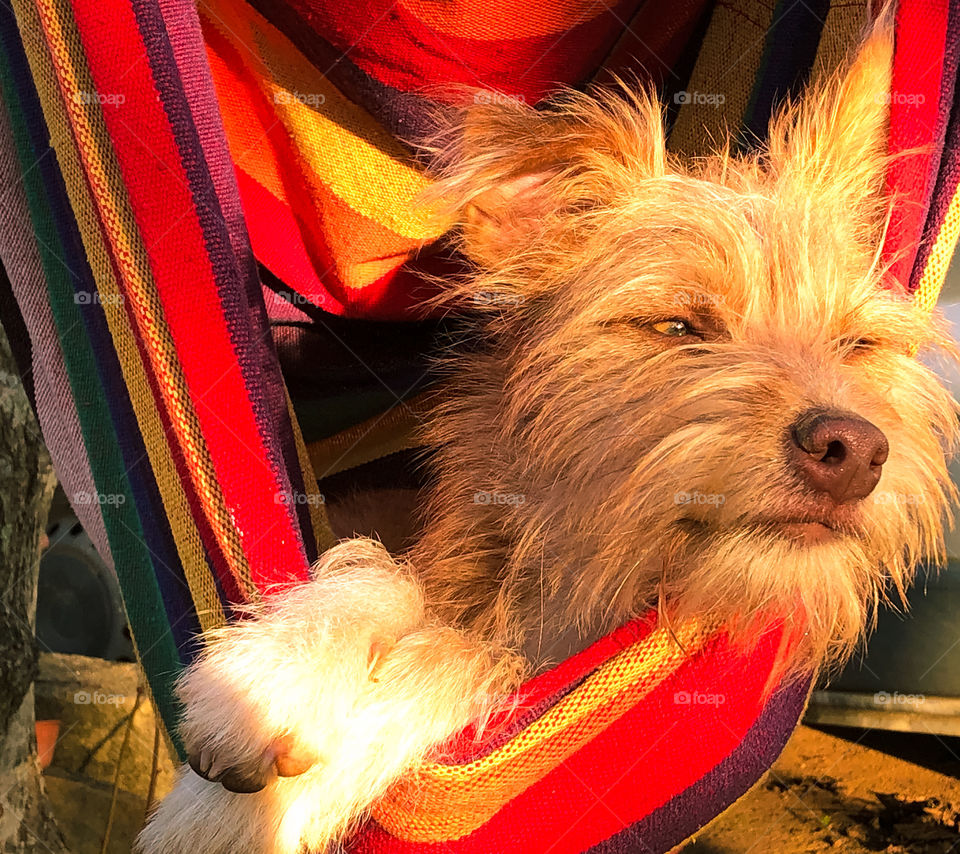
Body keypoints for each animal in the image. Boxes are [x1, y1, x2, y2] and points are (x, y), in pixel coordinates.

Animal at [135, 13, 960, 854]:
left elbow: (466, 657)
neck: (582, 578)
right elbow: (391, 576)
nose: (852, 451)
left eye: (857, 345)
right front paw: (282, 672)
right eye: (677, 327)